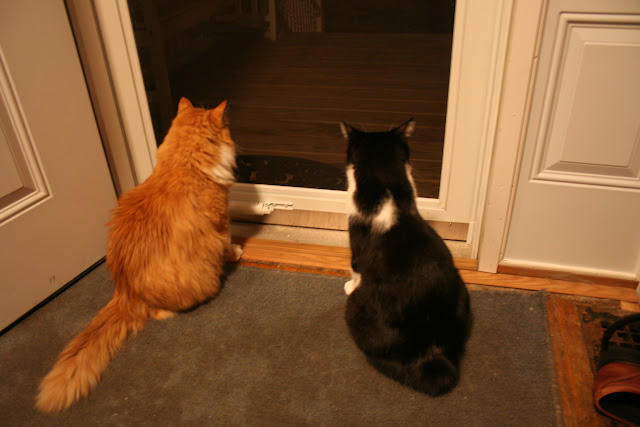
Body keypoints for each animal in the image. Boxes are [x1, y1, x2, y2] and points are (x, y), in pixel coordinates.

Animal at [36, 97, 243, 412]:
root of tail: (124, 291)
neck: (183, 164)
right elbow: (228, 243)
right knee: (158, 313)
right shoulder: (221, 223)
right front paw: (237, 252)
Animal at [341, 119, 472, 396]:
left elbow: (355, 268)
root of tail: (431, 348)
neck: (388, 192)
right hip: (463, 294)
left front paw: (348, 285)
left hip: (356, 309)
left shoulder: (357, 242)